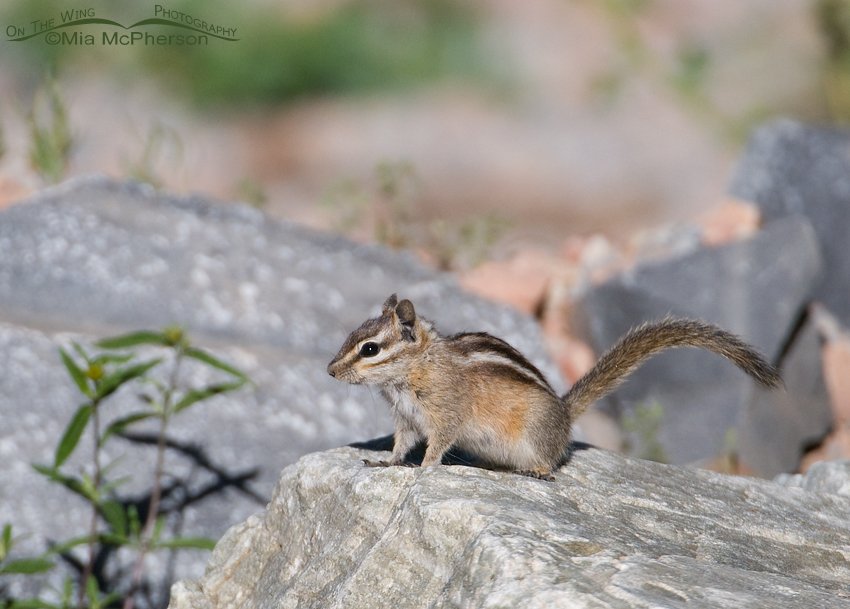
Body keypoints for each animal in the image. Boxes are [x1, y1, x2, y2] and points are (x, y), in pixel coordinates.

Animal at [327, 294, 782, 480]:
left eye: (370, 349)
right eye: (351, 335)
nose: (329, 372)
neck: (417, 369)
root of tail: (564, 412)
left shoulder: (445, 414)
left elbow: (437, 444)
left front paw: (423, 469)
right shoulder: (406, 418)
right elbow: (401, 444)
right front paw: (387, 463)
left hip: (533, 433)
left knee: (548, 462)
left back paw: (534, 471)